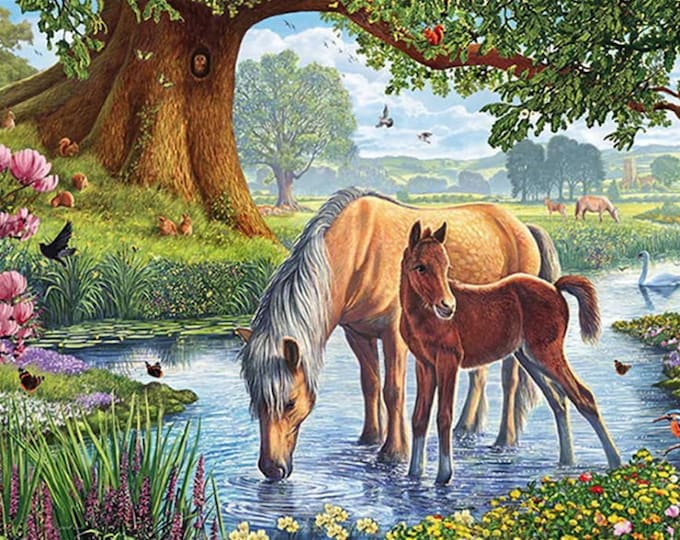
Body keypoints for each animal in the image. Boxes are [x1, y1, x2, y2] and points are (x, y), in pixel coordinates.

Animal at [237, 188, 560, 481]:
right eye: (255, 398)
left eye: (290, 402)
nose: (272, 469)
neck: (359, 252)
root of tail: (522, 227)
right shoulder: (358, 335)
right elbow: (370, 385)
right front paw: (370, 438)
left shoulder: (394, 335)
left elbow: (392, 390)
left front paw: (393, 452)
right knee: (478, 376)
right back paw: (466, 428)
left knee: (510, 381)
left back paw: (504, 441)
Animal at [399, 221, 621, 484]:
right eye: (420, 267)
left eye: (446, 267)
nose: (448, 307)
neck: (423, 315)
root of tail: (555, 288)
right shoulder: (424, 365)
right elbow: (419, 418)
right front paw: (414, 474)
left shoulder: (448, 362)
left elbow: (444, 416)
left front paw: (443, 476)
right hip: (528, 358)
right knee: (558, 400)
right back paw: (567, 462)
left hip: (546, 354)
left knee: (583, 396)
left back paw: (615, 463)